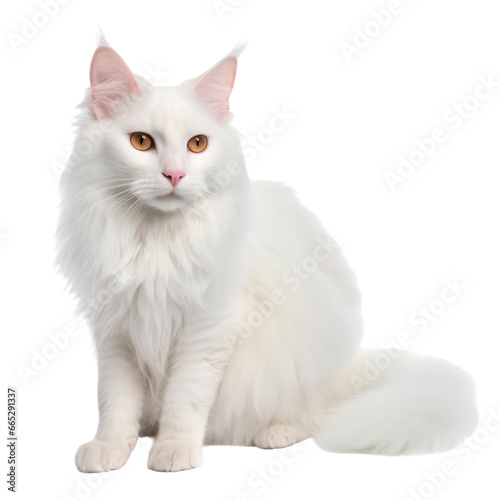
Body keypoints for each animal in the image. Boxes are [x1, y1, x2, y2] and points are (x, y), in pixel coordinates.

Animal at [56, 40, 478, 472]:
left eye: (197, 144)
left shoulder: (208, 329)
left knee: (315, 415)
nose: (175, 175)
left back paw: (275, 432)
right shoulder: (116, 330)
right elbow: (116, 403)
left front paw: (174, 450)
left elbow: (185, 398)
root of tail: (348, 369)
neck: (156, 240)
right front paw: (110, 449)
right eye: (141, 142)